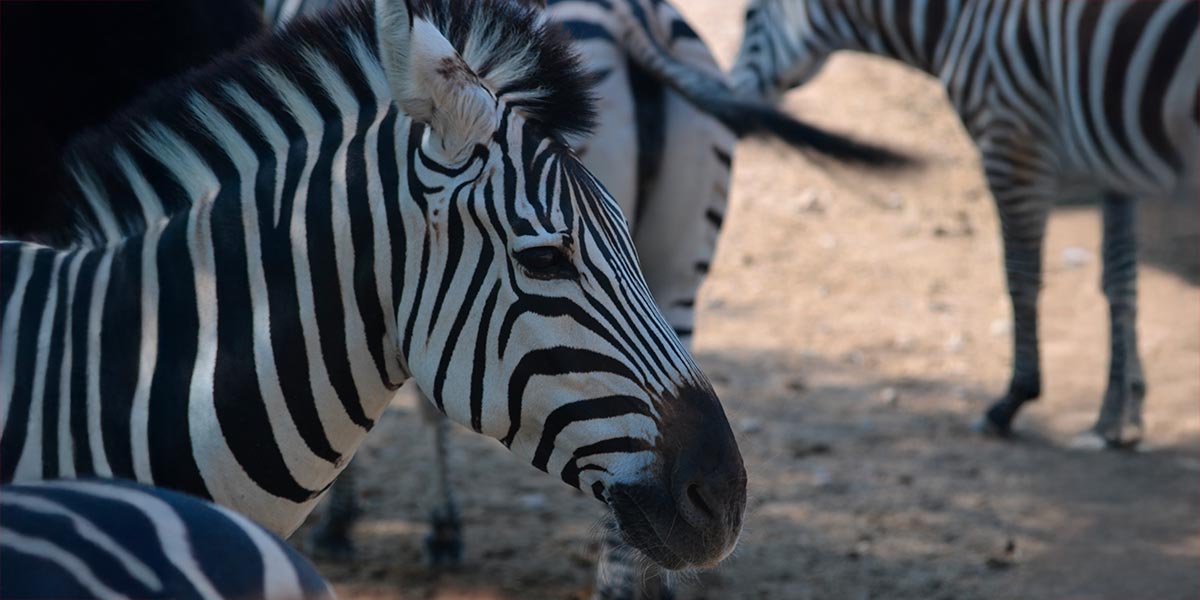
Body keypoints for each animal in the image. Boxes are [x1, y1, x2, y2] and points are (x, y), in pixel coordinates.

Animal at [623, 0, 1199, 448]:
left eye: (747, 16)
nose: (730, 98)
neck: (954, 21)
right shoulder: (1113, 164)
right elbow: (1120, 281)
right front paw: (1119, 416)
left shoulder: (1010, 137)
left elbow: (1021, 276)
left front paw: (1013, 400)